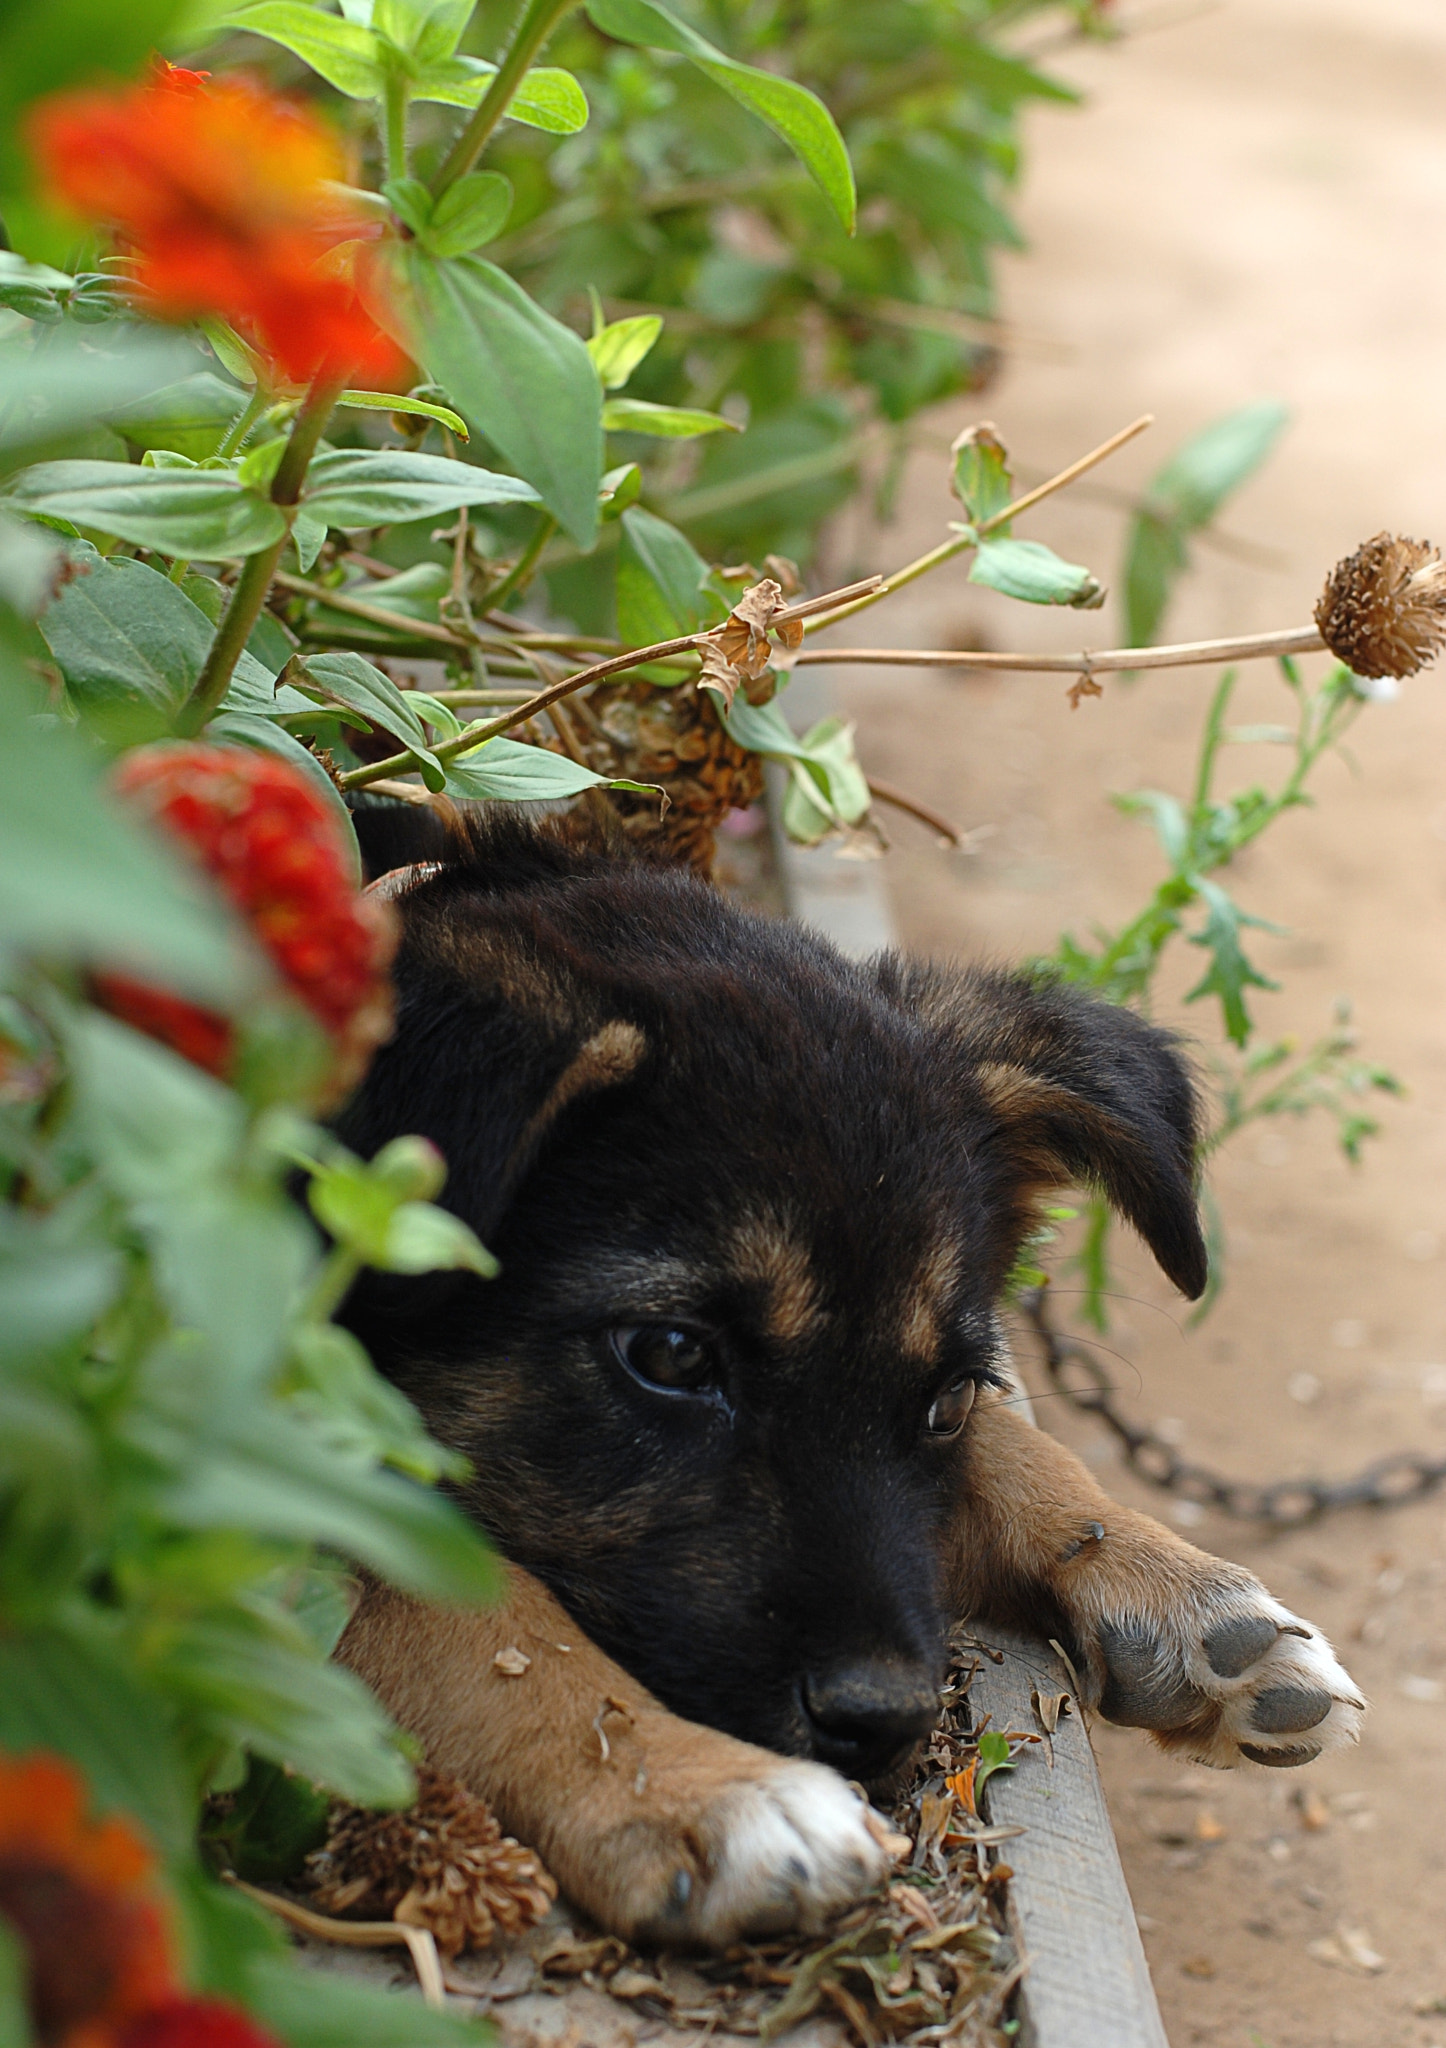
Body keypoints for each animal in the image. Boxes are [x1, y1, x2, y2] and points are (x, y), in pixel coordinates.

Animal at [331, 806, 1359, 1941]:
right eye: (670, 1355)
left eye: (949, 1397)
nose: (889, 1725)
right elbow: (445, 1603)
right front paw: (700, 1784)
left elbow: (1012, 1445)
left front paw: (1178, 1588)